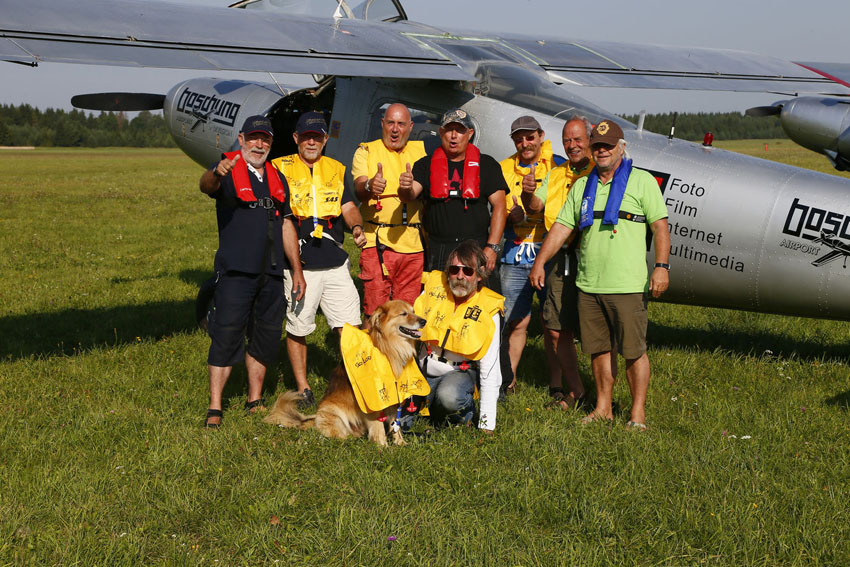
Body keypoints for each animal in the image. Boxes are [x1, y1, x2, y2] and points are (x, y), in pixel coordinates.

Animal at [264, 300, 428, 450]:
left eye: (413, 311)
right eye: (404, 314)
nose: (424, 321)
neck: (388, 347)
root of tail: (314, 419)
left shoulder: (393, 398)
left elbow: (396, 424)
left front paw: (401, 443)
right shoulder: (373, 400)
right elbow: (378, 426)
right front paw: (382, 446)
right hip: (332, 411)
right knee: (337, 435)